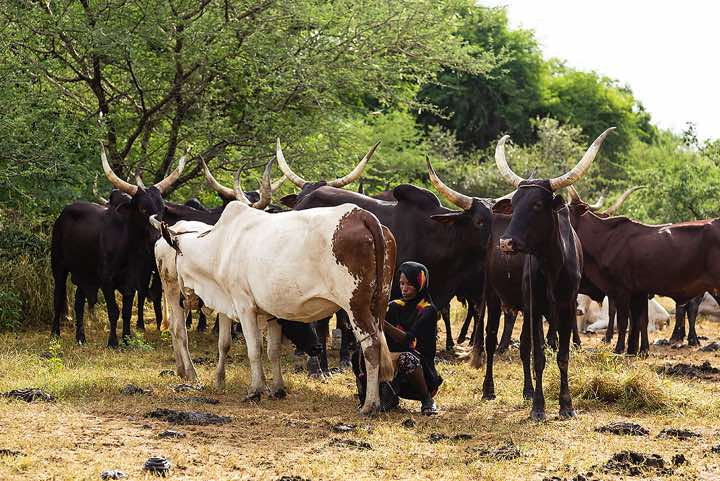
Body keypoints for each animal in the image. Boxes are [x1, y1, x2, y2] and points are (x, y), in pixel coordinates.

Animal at [51, 143, 187, 346]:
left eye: (162, 208)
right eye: (142, 209)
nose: (157, 237)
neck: (128, 249)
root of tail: (63, 214)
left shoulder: (132, 280)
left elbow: (126, 311)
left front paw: (127, 339)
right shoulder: (107, 280)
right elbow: (114, 311)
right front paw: (113, 342)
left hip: (84, 273)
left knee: (78, 302)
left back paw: (81, 337)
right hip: (58, 266)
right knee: (58, 296)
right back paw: (55, 333)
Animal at [153, 157, 397, 414]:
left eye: (178, 258)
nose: (184, 300)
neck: (221, 244)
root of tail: (362, 216)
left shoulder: (244, 306)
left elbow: (254, 350)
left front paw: (255, 390)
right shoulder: (271, 313)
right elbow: (273, 351)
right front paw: (278, 389)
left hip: (355, 306)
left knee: (370, 345)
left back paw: (369, 404)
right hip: (380, 302)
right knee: (380, 341)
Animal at [481, 128, 612, 420]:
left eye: (537, 205)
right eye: (515, 203)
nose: (506, 243)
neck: (552, 265)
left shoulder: (565, 306)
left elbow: (561, 354)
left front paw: (566, 406)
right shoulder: (535, 305)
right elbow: (539, 356)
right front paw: (539, 408)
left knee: (524, 345)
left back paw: (527, 391)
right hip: (494, 297)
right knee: (492, 340)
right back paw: (489, 390)